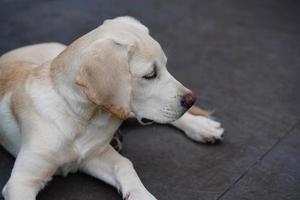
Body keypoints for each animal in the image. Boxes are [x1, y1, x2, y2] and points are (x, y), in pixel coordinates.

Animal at [0, 16, 224, 199]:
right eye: (150, 75)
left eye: (166, 66)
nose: (191, 99)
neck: (82, 117)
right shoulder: (21, 181)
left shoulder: (94, 155)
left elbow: (125, 164)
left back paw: (202, 127)